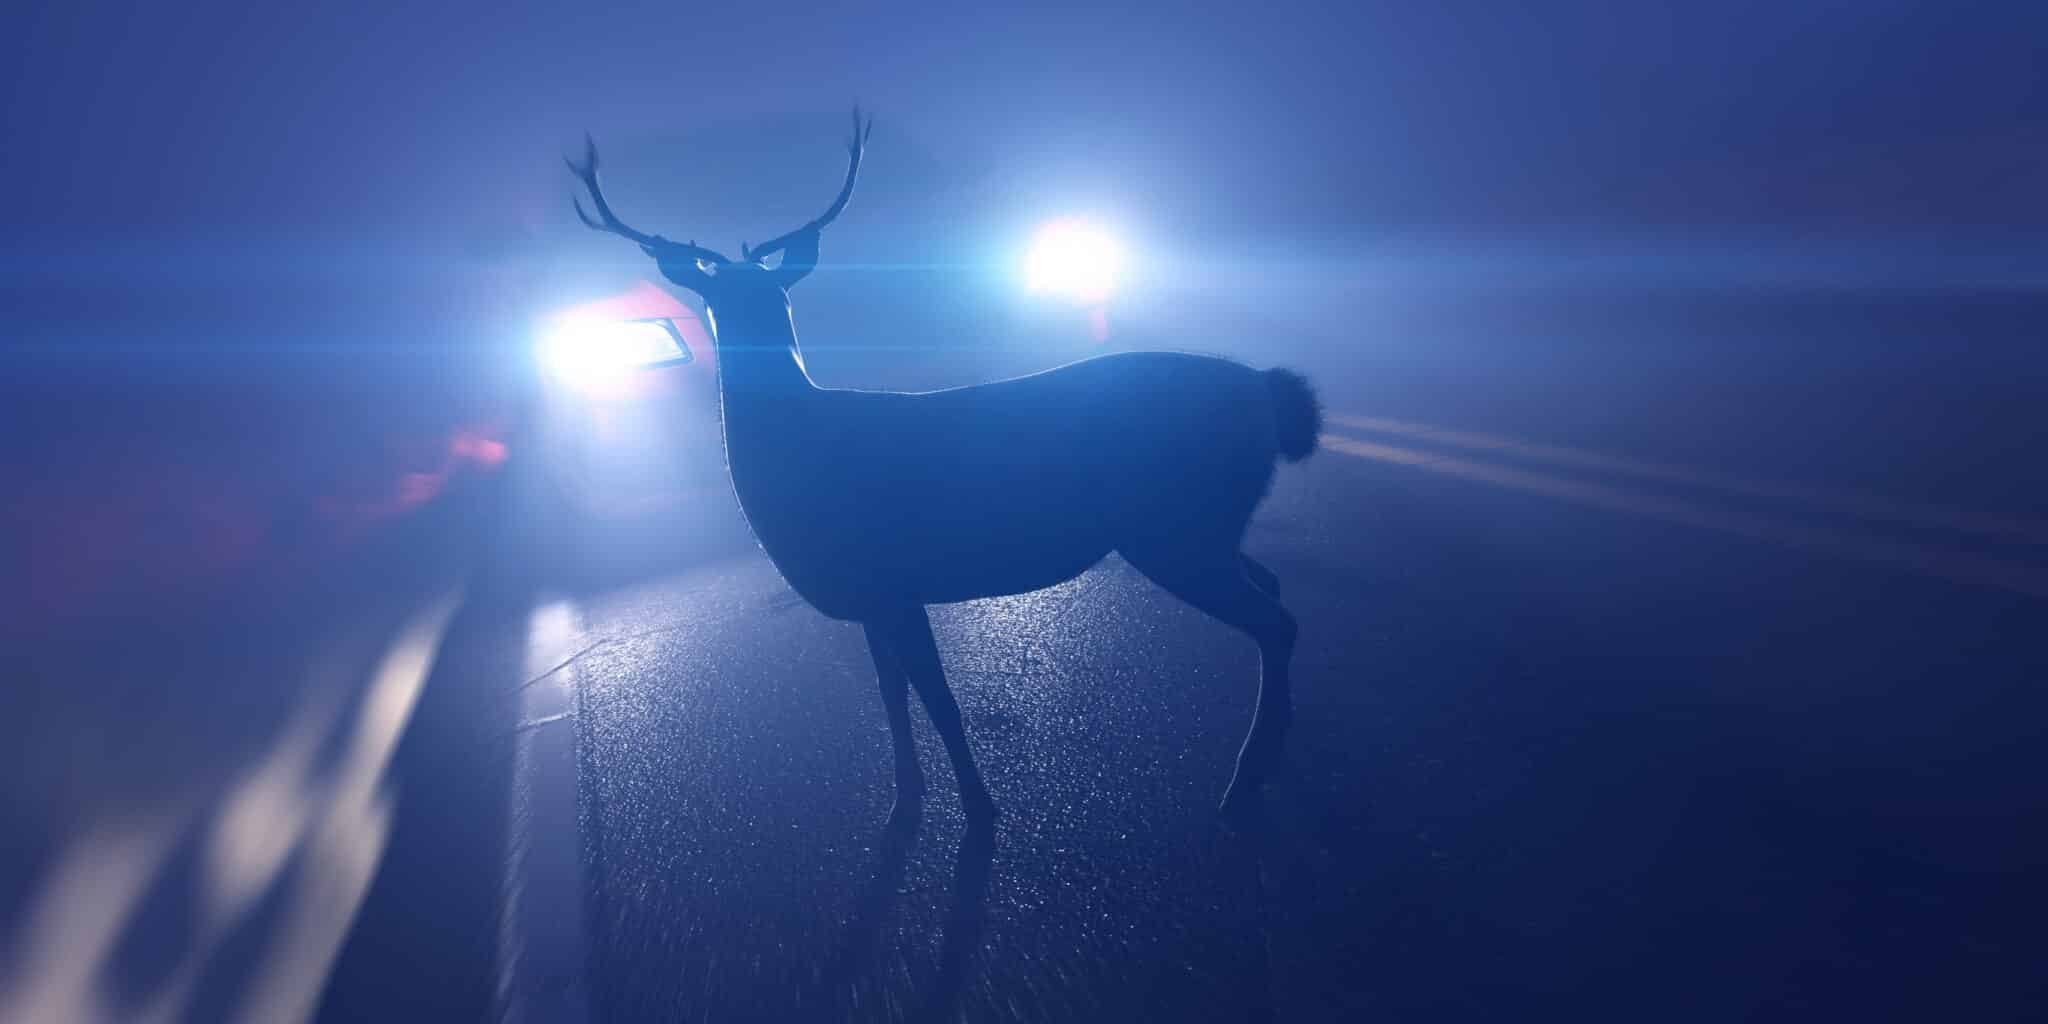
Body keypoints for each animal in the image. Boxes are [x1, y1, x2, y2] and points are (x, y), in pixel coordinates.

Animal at [565, 110, 1321, 828]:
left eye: (771, 295)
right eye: (718, 299)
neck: (797, 457)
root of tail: (1268, 391)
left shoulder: (894, 583)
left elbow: (940, 700)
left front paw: (981, 810)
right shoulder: (870, 597)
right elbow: (890, 700)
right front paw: (904, 803)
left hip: (1174, 524)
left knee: (1275, 620)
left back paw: (1241, 781)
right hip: (1205, 522)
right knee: (1273, 587)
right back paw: (1275, 753)